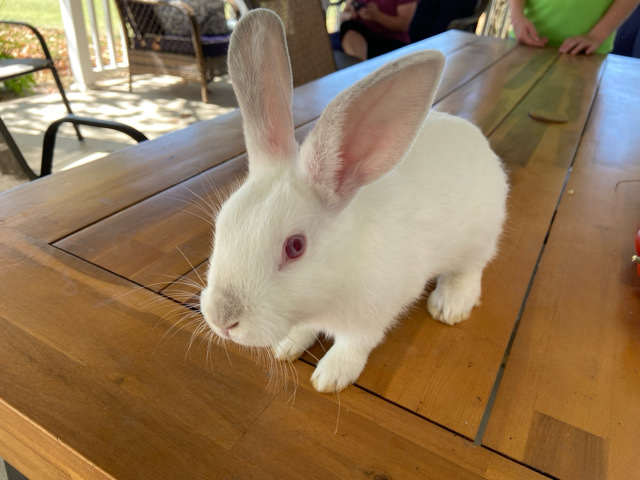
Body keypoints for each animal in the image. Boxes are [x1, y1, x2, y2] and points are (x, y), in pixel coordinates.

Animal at [199, 9, 508, 393]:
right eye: (222, 223)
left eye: (295, 247)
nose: (222, 319)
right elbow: (303, 329)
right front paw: (287, 345)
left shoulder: (373, 315)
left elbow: (354, 344)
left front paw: (330, 376)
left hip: (479, 237)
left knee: (472, 268)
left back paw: (450, 304)